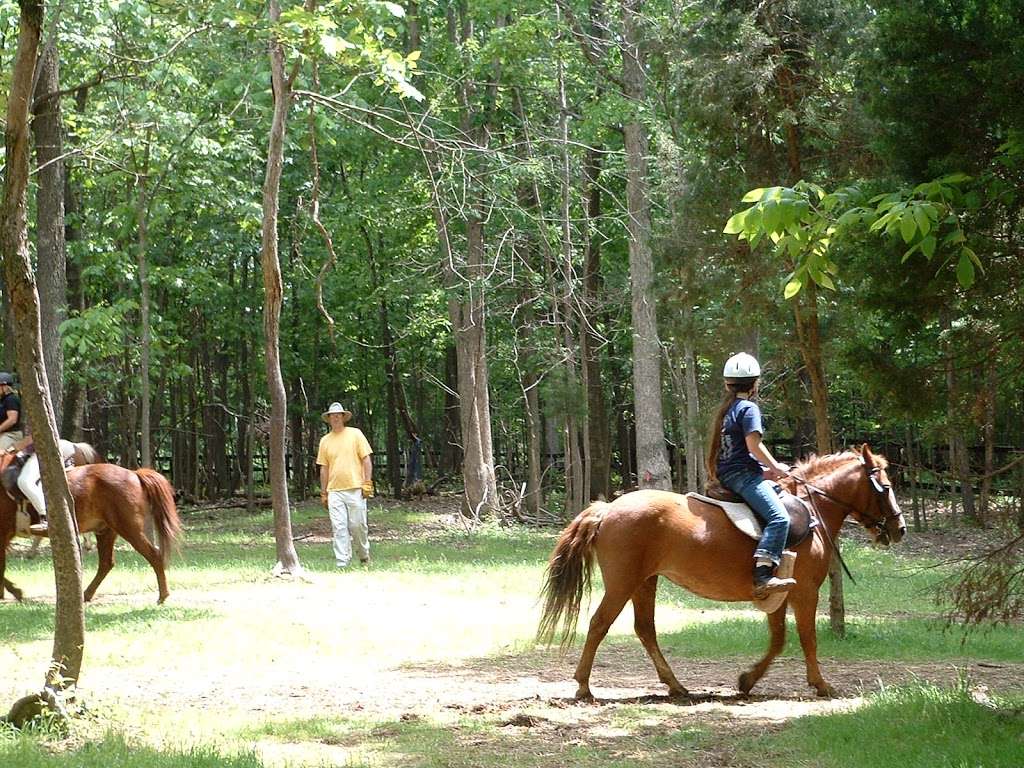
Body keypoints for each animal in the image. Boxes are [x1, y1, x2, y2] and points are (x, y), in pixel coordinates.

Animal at [1, 460, 181, 606]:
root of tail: (134, 474)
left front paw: (16, 592)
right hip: (106, 531)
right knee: (106, 563)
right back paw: (86, 594)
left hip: (129, 529)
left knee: (154, 555)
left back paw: (163, 596)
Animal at [536, 444, 905, 704]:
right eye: (885, 487)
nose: (899, 529)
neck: (813, 511)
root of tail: (608, 508)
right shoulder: (805, 591)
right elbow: (806, 638)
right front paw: (821, 684)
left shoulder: (778, 591)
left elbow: (778, 639)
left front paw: (747, 680)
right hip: (623, 583)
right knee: (600, 624)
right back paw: (584, 687)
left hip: (644, 581)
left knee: (645, 629)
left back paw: (676, 686)